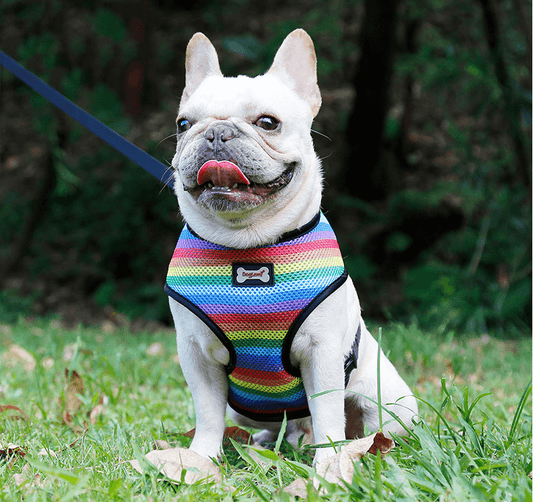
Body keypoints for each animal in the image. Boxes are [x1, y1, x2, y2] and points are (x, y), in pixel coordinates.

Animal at [164, 28, 418, 466]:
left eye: (268, 123)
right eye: (184, 124)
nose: (216, 132)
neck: (247, 244)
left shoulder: (323, 354)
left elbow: (328, 412)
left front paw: (329, 464)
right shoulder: (196, 354)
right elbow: (208, 412)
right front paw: (201, 460)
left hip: (388, 399)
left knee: (363, 423)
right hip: (245, 411)